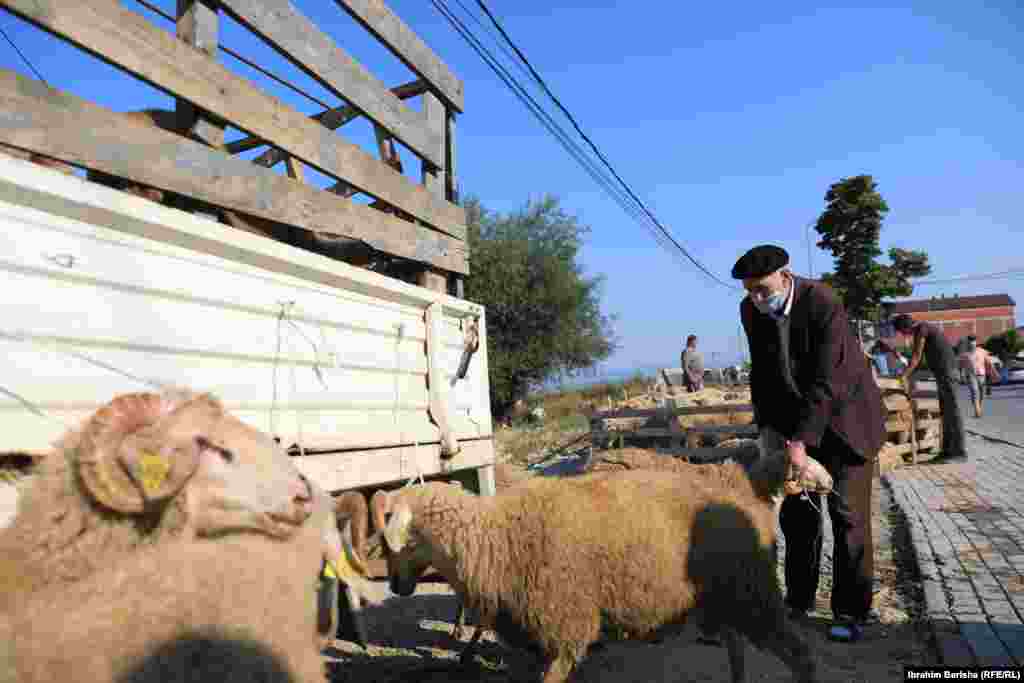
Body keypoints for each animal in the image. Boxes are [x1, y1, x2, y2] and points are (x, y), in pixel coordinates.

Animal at [368, 444, 831, 683]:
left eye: (400, 540)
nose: (394, 586)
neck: (495, 535)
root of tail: (744, 503)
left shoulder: (564, 623)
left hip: (750, 592)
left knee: (798, 654)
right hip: (728, 594)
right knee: (739, 648)